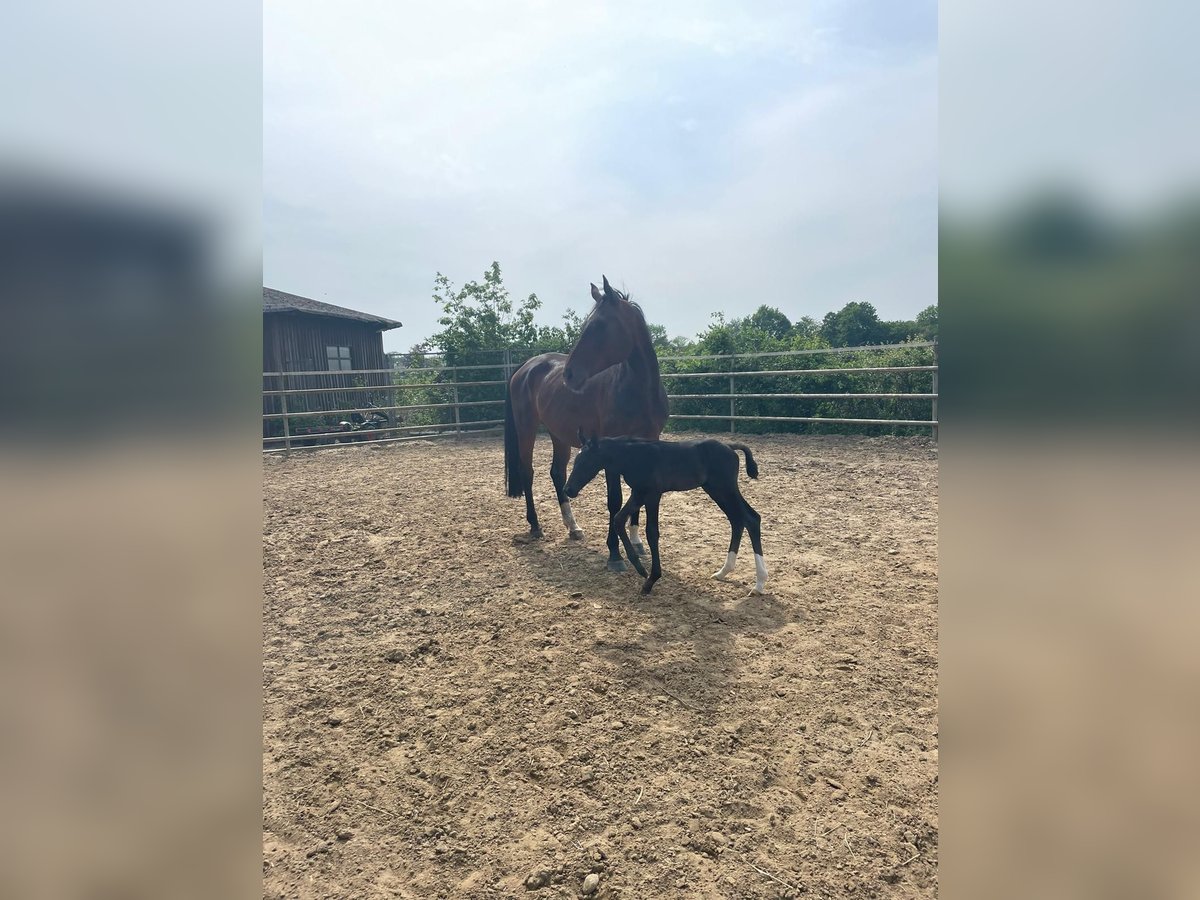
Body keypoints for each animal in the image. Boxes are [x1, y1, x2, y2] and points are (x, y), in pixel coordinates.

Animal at [504, 274, 672, 571]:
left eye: (599, 326)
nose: (569, 375)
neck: (638, 392)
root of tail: (524, 368)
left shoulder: (648, 444)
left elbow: (636, 494)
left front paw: (637, 543)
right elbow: (615, 500)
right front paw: (615, 554)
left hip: (559, 434)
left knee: (557, 474)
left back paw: (573, 527)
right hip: (526, 429)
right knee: (528, 473)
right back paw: (535, 526)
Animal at [564, 434, 768, 595]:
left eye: (585, 461)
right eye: (575, 461)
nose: (568, 489)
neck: (634, 456)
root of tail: (730, 447)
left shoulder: (652, 495)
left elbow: (652, 533)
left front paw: (651, 580)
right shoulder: (639, 493)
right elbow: (618, 519)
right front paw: (640, 568)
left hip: (726, 488)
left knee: (750, 519)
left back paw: (759, 584)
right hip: (716, 490)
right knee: (738, 520)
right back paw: (723, 572)